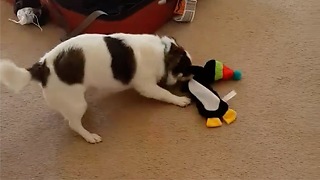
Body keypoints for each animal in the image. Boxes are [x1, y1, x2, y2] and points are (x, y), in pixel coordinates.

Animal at [0, 32, 192, 143]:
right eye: (187, 68)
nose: (194, 74)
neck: (163, 52)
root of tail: (42, 66)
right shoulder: (147, 86)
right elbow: (165, 94)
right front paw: (179, 99)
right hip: (77, 104)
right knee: (73, 123)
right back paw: (89, 136)